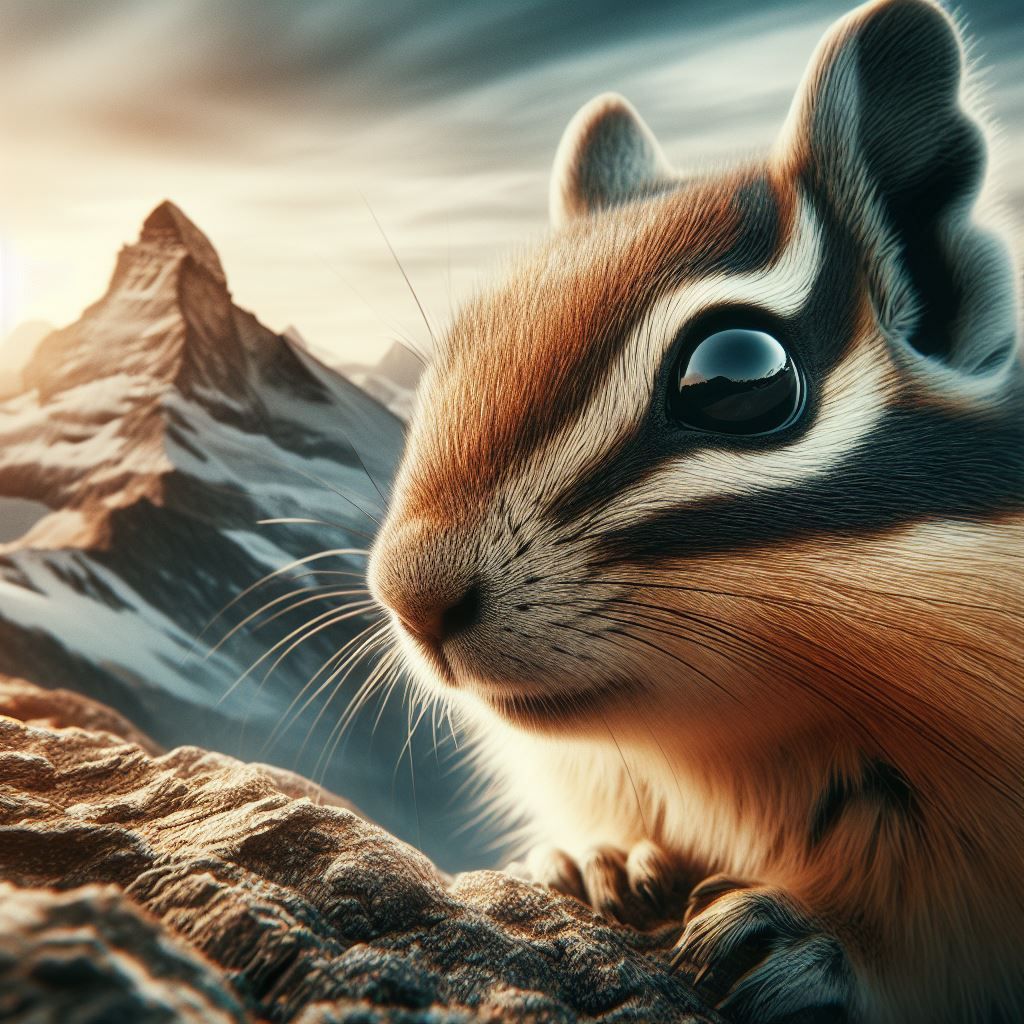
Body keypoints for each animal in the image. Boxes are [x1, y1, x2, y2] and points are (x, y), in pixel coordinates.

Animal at [368, 1, 1024, 1020]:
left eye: (738, 376)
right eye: (457, 348)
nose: (411, 595)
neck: (738, 755)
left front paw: (806, 940)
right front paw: (597, 862)